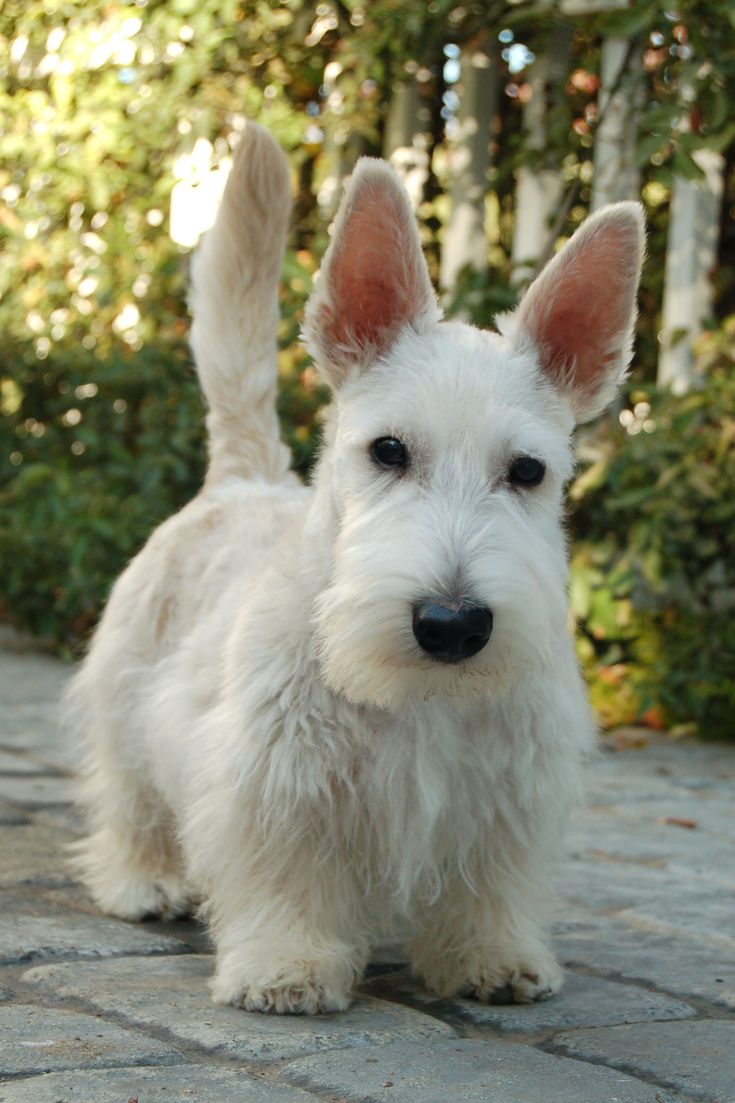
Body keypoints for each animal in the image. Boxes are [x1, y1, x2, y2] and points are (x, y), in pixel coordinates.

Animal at [67, 122, 640, 1014]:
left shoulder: (510, 785)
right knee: (129, 795)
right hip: (127, 691)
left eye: (527, 471)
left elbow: (488, 881)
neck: (421, 696)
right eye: (388, 450)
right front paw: (286, 964)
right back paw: (143, 880)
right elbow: (285, 871)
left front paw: (490, 955)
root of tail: (243, 476)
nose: (451, 623)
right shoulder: (273, 772)